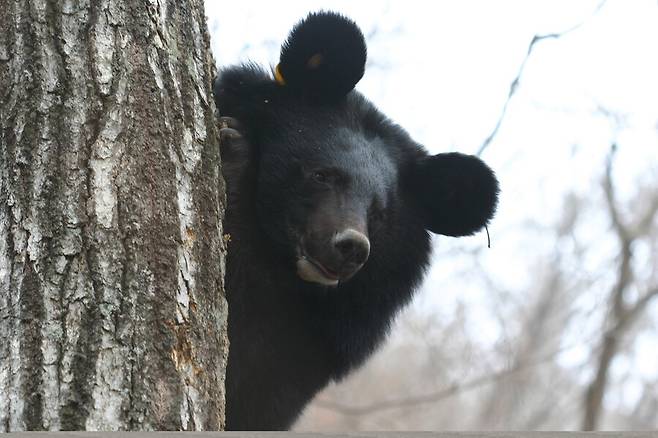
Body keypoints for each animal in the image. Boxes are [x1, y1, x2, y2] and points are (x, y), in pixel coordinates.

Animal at [214, 11, 498, 432]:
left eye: (379, 213)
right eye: (322, 175)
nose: (350, 247)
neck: (287, 279)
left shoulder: (318, 343)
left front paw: (233, 154)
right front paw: (231, 142)